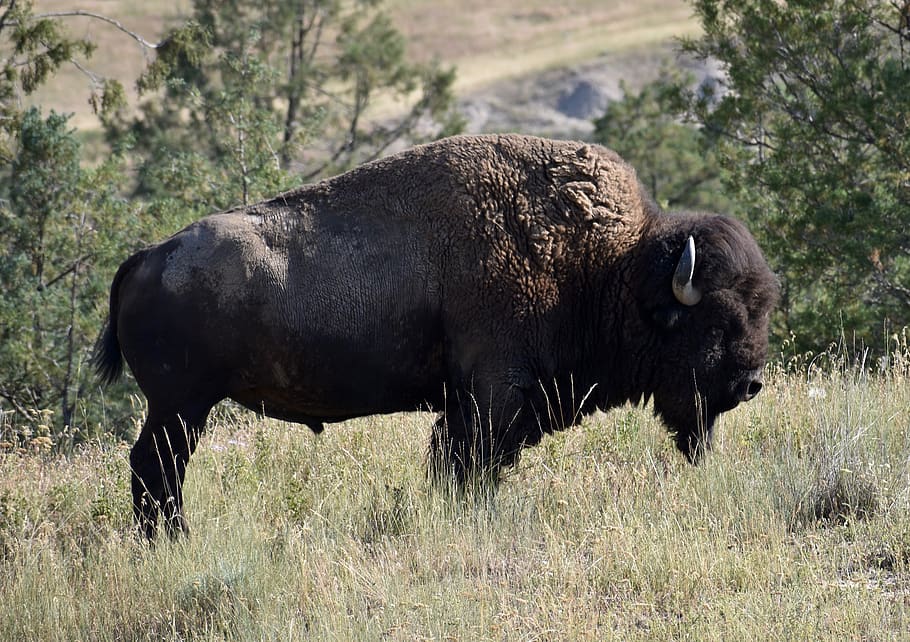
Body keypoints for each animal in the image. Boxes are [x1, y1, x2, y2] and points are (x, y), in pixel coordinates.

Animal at [91, 134, 776, 536]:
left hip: (179, 406)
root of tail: (149, 256)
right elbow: (469, 464)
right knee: (156, 467)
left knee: (154, 469)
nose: (749, 383)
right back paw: (171, 540)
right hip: (181, 405)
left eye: (761, 309)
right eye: (716, 320)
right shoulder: (493, 396)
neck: (610, 268)